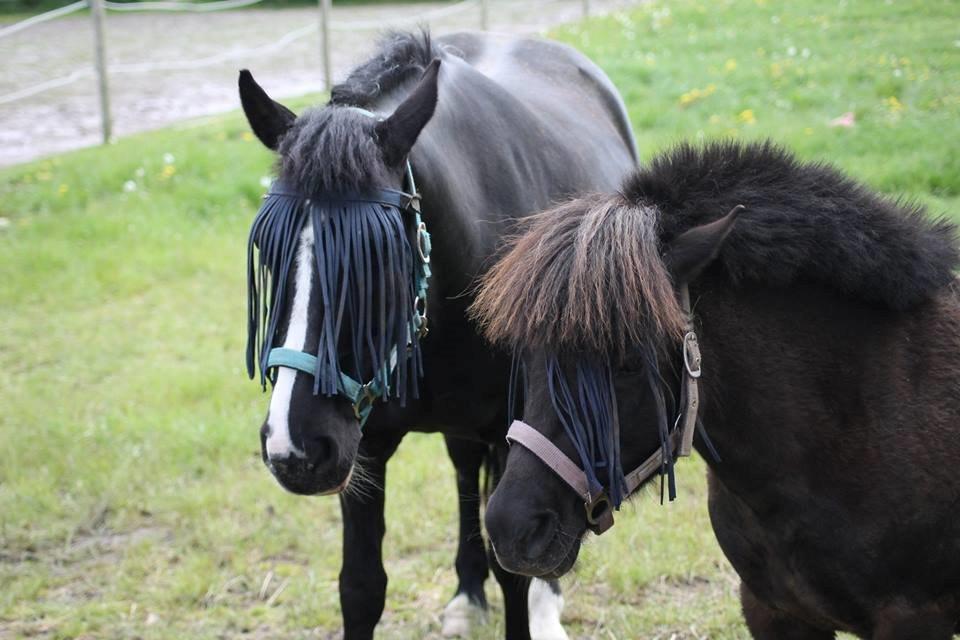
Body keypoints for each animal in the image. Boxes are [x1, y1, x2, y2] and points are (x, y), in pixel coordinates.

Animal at [238, 31, 636, 640]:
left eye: (379, 256)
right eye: (268, 250)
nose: (295, 449)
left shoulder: (512, 435)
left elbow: (514, 569)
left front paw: (527, 601)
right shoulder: (366, 446)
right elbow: (361, 586)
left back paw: (545, 604)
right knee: (463, 472)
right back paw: (467, 592)